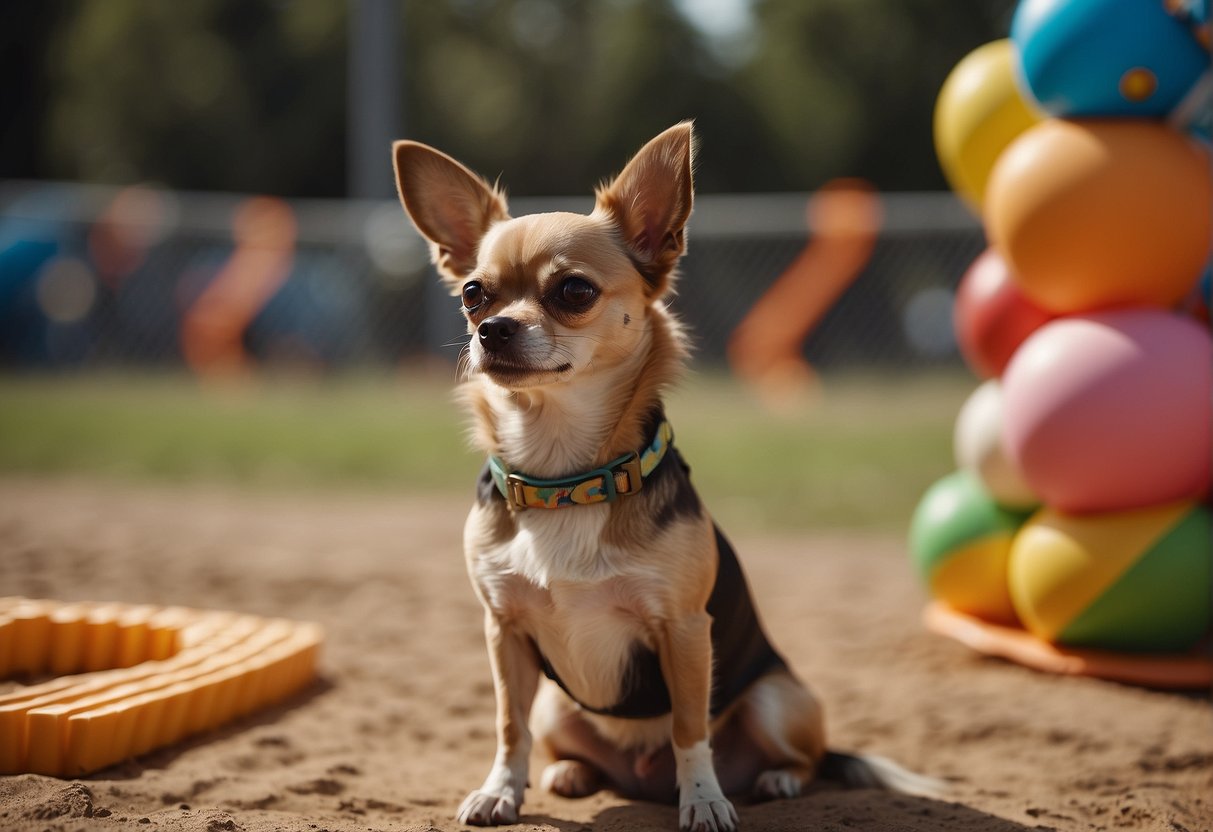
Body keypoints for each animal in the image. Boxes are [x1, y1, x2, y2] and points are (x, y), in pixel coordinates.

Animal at [393, 123, 931, 832]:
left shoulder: (683, 631)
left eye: (574, 291)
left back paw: (776, 779)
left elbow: (687, 729)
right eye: (473, 294)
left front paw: (703, 801)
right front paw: (500, 791)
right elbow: (509, 726)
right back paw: (571, 772)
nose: (493, 330)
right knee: (557, 739)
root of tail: (639, 777)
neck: (565, 478)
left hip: (777, 700)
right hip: (558, 704)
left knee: (808, 758)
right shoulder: (504, 631)